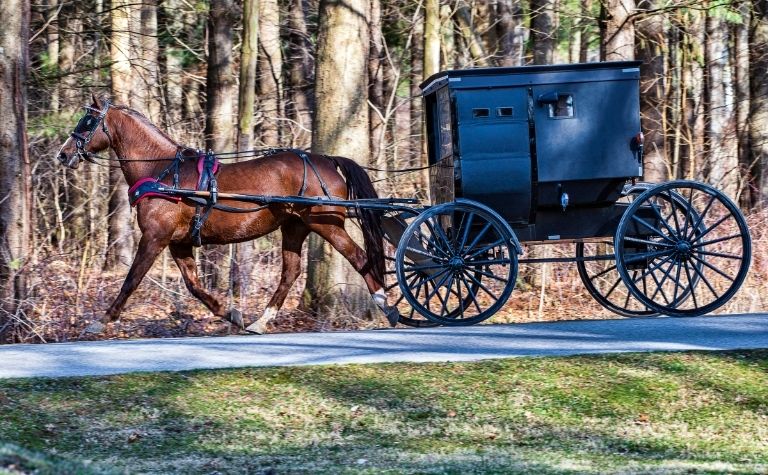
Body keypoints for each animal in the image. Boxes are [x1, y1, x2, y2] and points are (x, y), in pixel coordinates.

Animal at [57, 94, 400, 334]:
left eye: (87, 121)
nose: (63, 154)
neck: (163, 171)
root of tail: (326, 159)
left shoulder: (155, 237)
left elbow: (131, 280)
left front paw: (102, 320)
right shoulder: (178, 242)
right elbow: (194, 286)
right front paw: (231, 314)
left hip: (325, 223)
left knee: (358, 257)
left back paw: (387, 305)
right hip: (294, 227)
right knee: (290, 272)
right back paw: (260, 321)